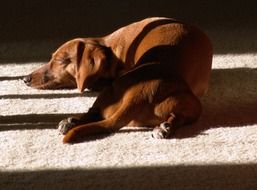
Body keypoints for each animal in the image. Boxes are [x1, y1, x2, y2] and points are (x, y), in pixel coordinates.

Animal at [23, 17, 212, 142]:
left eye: (61, 61)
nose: (25, 79)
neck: (112, 48)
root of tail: (141, 93)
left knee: (94, 111)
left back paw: (71, 121)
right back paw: (165, 127)